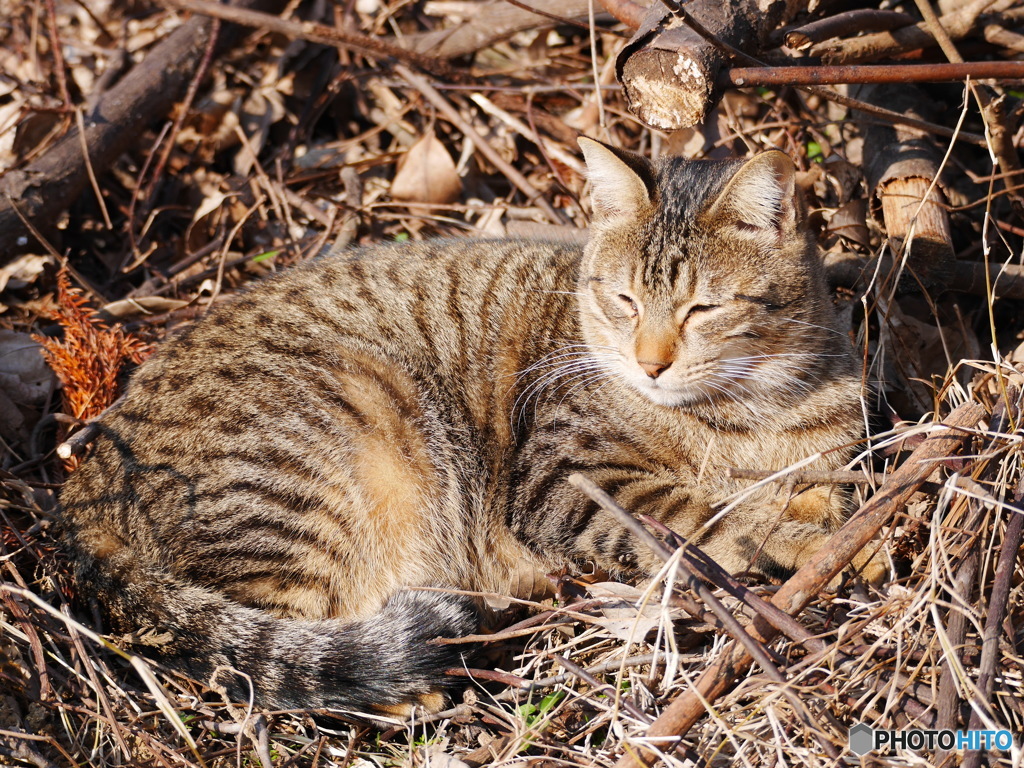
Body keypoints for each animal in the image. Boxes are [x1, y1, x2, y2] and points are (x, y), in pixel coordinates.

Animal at [56, 137, 872, 716]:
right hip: (315, 468)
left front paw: (838, 535)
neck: (753, 411)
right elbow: (704, 517)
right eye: (624, 300)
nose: (650, 363)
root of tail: (80, 485)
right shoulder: (567, 480)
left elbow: (812, 492)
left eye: (703, 308)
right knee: (266, 662)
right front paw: (798, 541)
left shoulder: (831, 456)